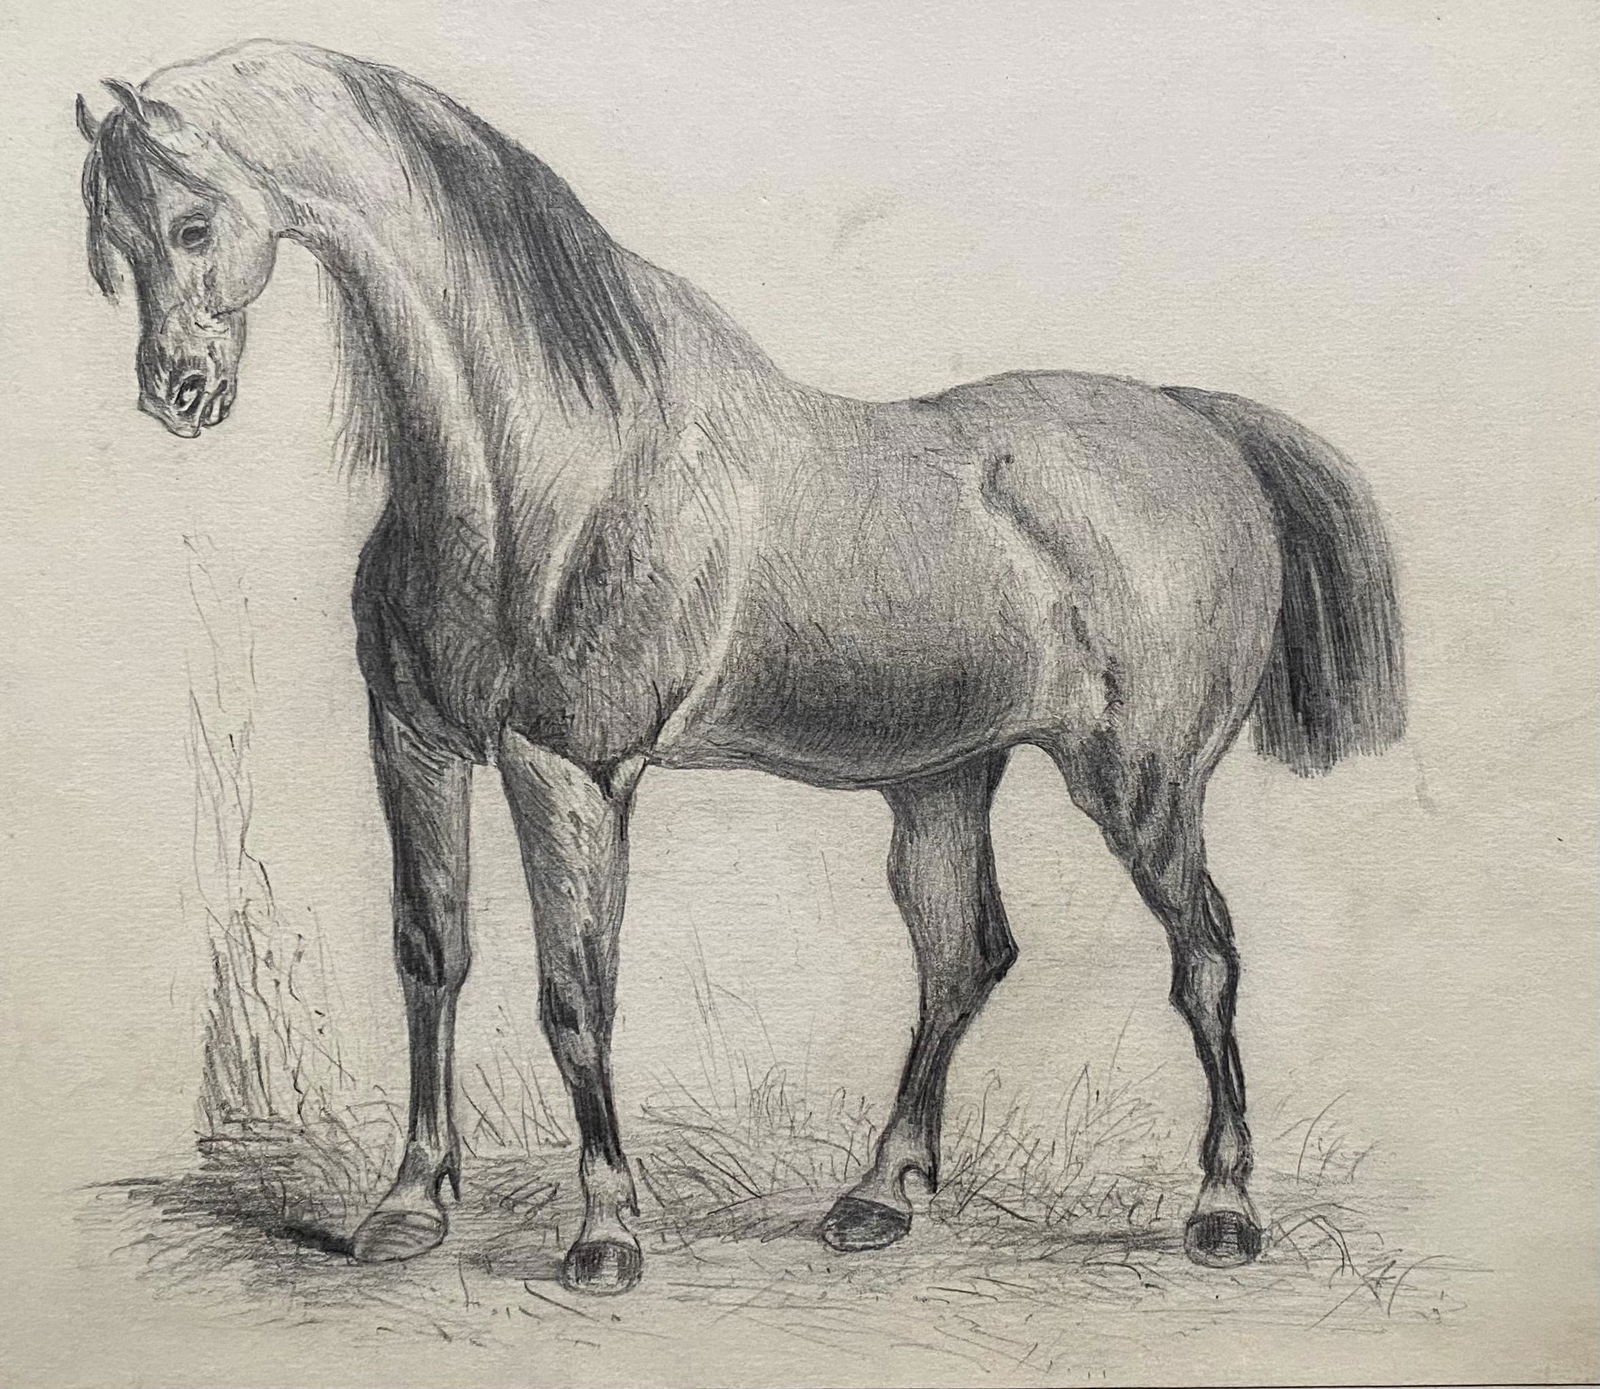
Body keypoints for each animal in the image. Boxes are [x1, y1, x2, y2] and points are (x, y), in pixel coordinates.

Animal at [78, 40, 1405, 1295]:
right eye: (109, 249)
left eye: (191, 224)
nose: (177, 395)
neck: (536, 469)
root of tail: (1199, 424)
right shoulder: (415, 745)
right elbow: (429, 956)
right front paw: (408, 1206)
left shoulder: (568, 769)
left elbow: (576, 990)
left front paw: (605, 1234)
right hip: (942, 781)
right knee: (963, 958)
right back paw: (875, 1197)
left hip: (1140, 786)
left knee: (1205, 960)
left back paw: (1222, 1212)